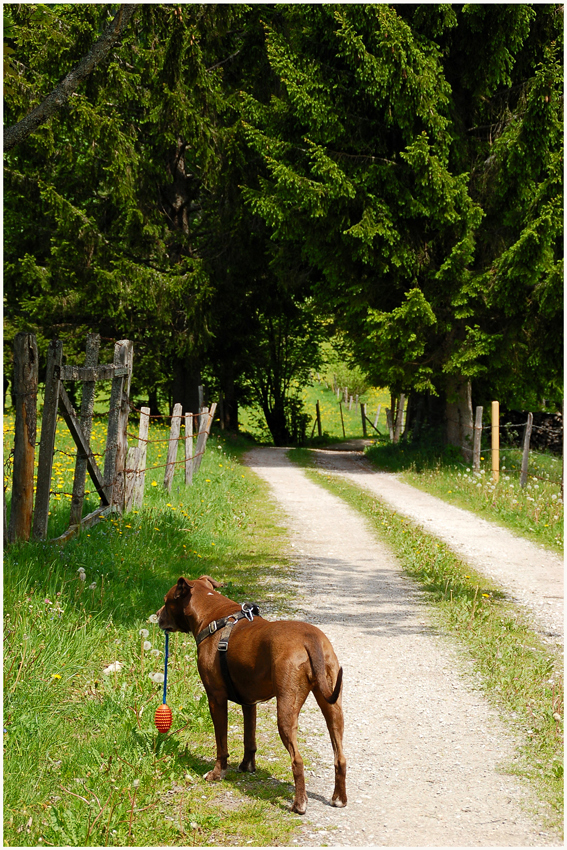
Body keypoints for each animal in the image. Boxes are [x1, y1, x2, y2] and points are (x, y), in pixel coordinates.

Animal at [158, 572, 348, 812]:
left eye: (166, 601)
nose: (156, 615)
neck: (212, 614)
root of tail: (309, 638)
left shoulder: (215, 698)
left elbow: (221, 743)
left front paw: (217, 773)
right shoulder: (249, 702)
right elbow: (250, 739)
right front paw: (246, 766)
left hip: (286, 712)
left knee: (297, 760)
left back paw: (299, 804)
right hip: (332, 706)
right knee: (340, 756)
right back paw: (339, 798)